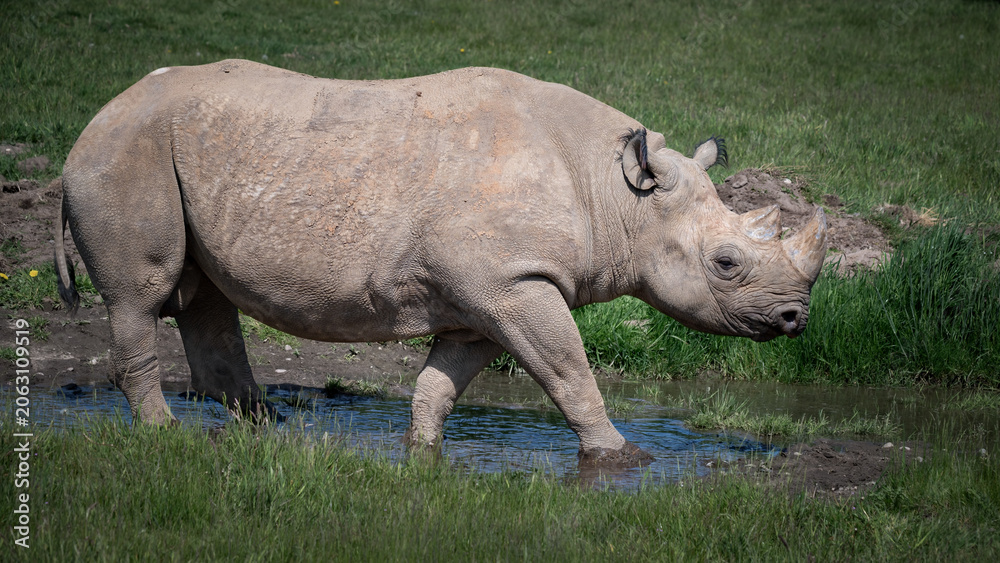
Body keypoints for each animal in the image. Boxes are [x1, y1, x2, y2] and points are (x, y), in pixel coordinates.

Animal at [56, 60, 826, 464]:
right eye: (726, 263)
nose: (796, 317)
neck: (618, 196)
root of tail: (92, 122)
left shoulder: (488, 297)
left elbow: (441, 383)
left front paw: (421, 453)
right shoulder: (516, 282)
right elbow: (570, 372)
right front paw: (621, 457)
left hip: (166, 153)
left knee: (204, 297)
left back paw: (269, 427)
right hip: (122, 156)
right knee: (140, 295)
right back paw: (166, 436)